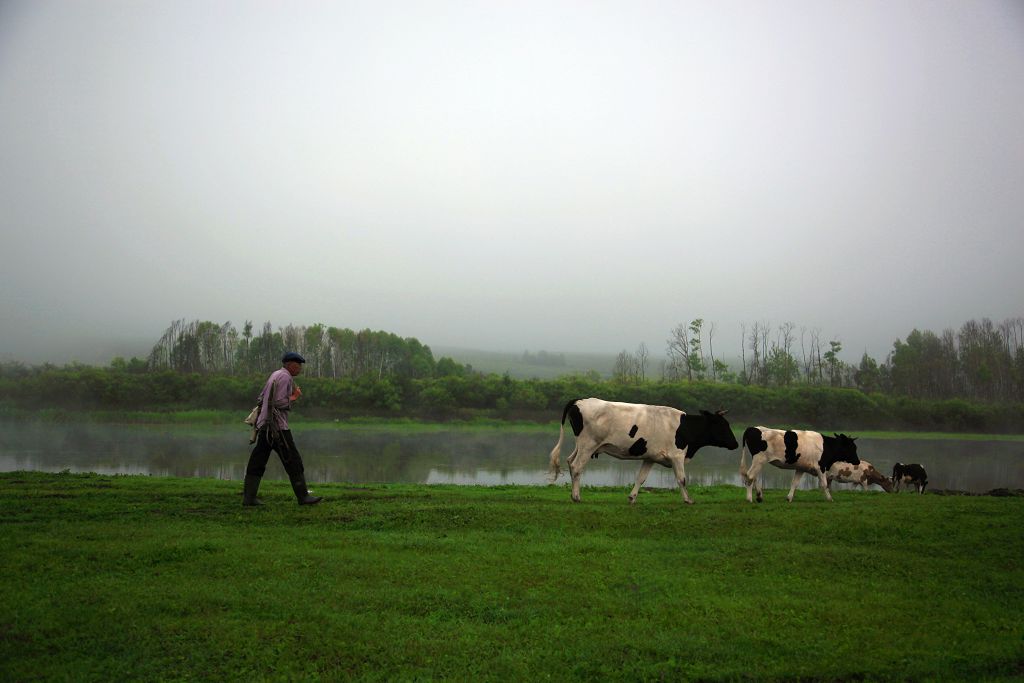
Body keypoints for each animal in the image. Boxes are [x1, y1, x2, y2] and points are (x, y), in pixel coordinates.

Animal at [548, 397, 741, 505]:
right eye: (723, 425)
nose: (736, 443)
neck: (684, 428)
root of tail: (579, 401)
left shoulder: (650, 457)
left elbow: (640, 478)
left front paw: (632, 498)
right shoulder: (677, 456)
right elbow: (682, 479)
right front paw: (688, 500)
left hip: (582, 445)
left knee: (569, 461)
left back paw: (573, 494)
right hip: (588, 445)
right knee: (576, 466)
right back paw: (576, 497)